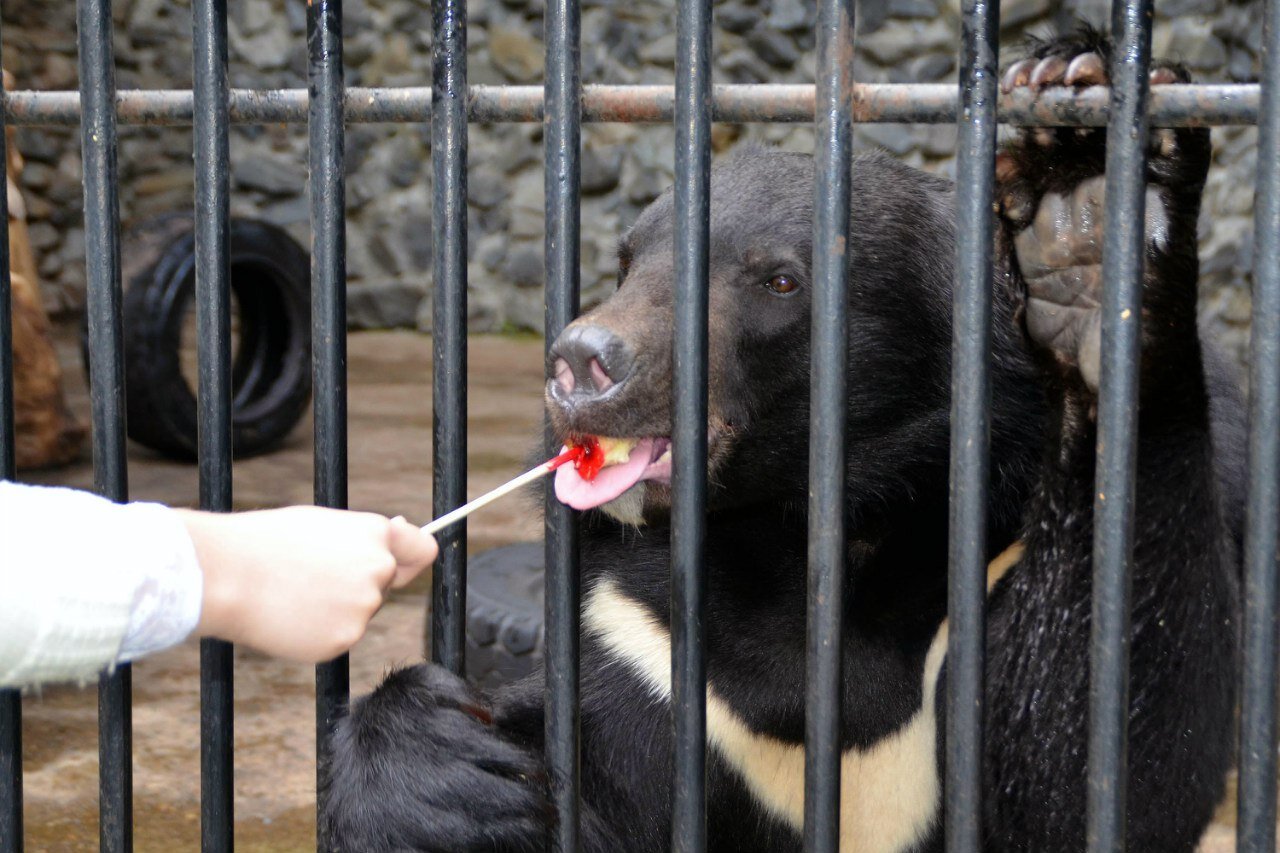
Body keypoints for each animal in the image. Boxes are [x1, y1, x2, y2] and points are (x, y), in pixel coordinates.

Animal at [321, 28, 1246, 852]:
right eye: (626, 261)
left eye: (779, 280)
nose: (584, 364)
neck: (798, 524)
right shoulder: (636, 632)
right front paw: (447, 772)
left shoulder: (993, 559)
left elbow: (1091, 770)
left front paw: (1091, 192)